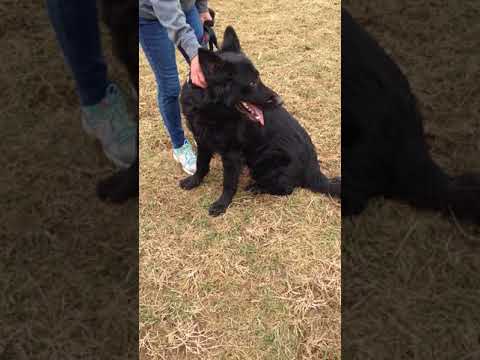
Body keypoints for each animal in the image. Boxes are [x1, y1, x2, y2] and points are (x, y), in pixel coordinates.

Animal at [178, 26, 340, 217]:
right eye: (251, 83)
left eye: (258, 77)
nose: (280, 101)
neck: (212, 108)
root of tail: (314, 171)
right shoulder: (202, 141)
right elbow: (201, 165)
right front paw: (194, 181)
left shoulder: (232, 155)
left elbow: (228, 183)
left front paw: (222, 204)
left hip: (266, 160)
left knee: (286, 189)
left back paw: (257, 187)